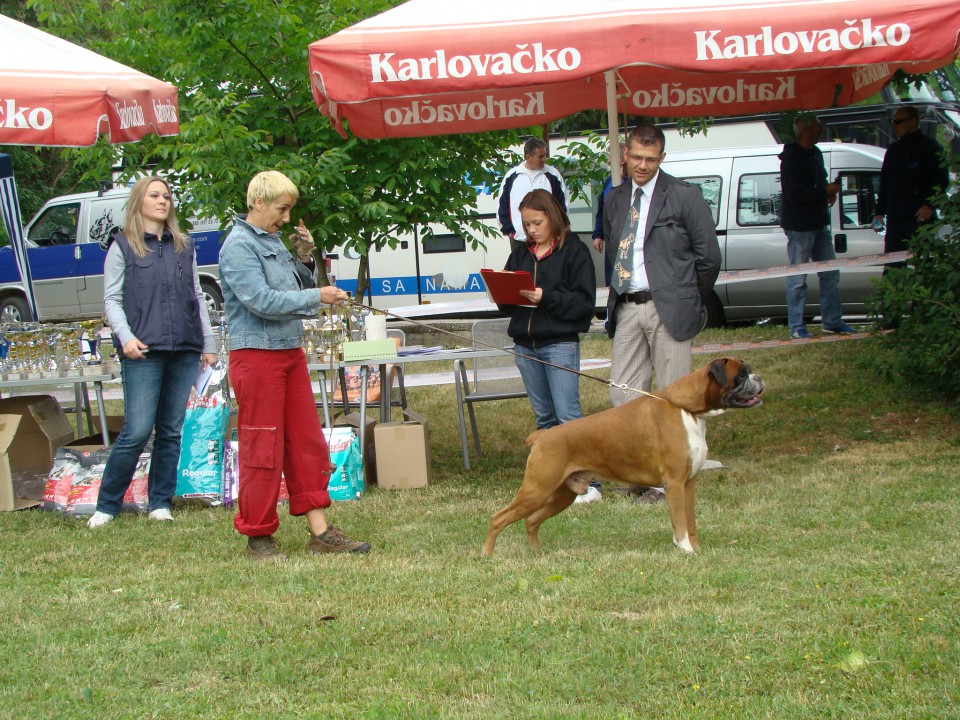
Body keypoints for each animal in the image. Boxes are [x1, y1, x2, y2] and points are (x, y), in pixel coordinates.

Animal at [484, 358, 760, 556]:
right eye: (741, 374)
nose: (758, 377)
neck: (685, 409)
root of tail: (542, 436)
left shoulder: (688, 484)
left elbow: (690, 521)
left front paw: (697, 549)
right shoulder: (674, 484)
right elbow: (679, 522)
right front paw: (685, 550)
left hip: (561, 495)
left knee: (531, 520)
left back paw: (537, 552)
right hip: (537, 490)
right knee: (498, 518)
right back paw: (487, 555)